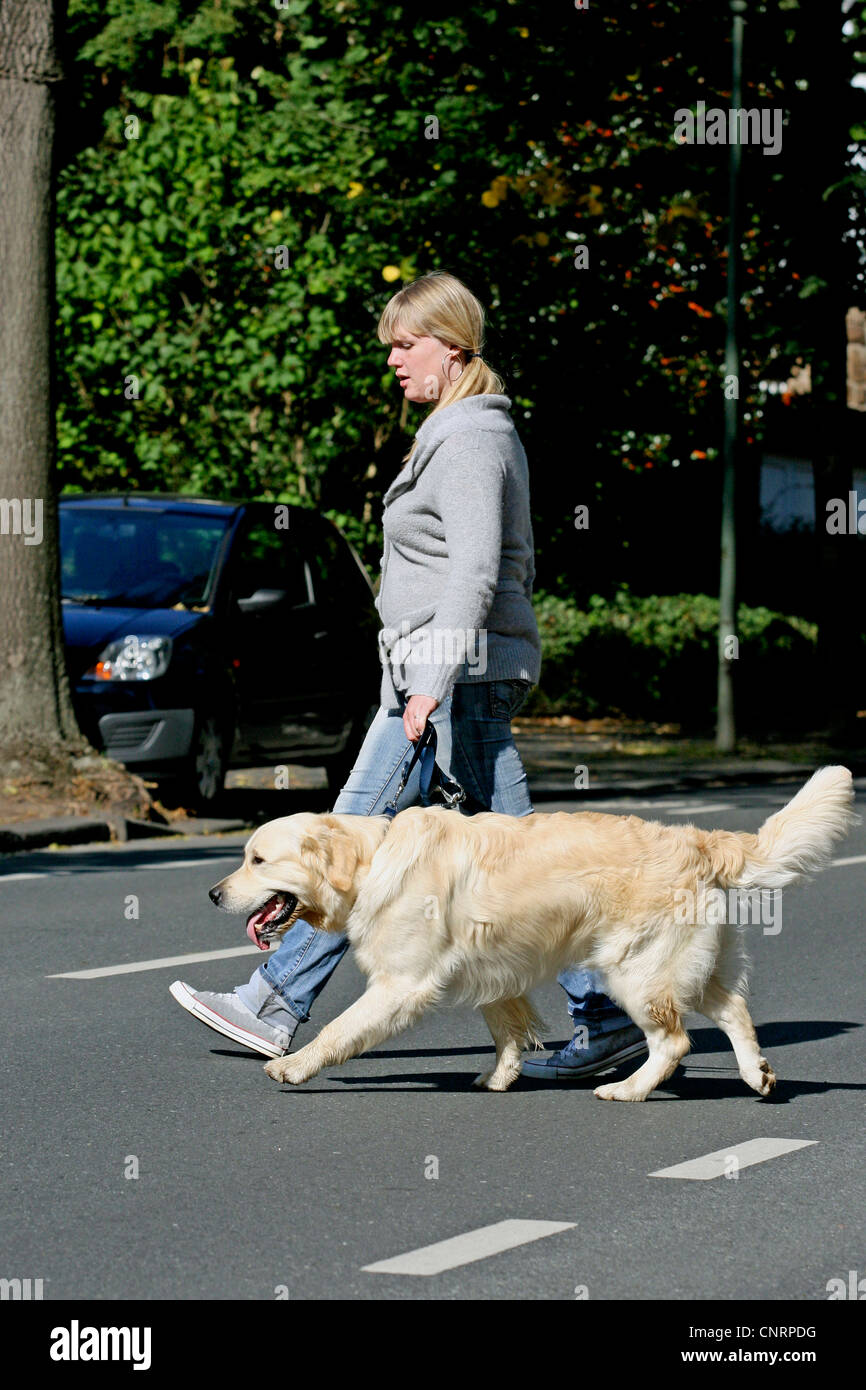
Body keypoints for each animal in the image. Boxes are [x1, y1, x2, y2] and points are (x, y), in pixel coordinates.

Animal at [208, 767, 856, 1100]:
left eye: (258, 860)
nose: (213, 894)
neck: (372, 863)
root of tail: (698, 837)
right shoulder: (487, 967)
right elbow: (505, 1028)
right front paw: (500, 1076)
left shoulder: (402, 983)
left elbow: (340, 1030)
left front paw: (294, 1067)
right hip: (692, 963)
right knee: (734, 1009)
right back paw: (756, 1075)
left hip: (635, 969)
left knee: (673, 1042)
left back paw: (628, 1089)